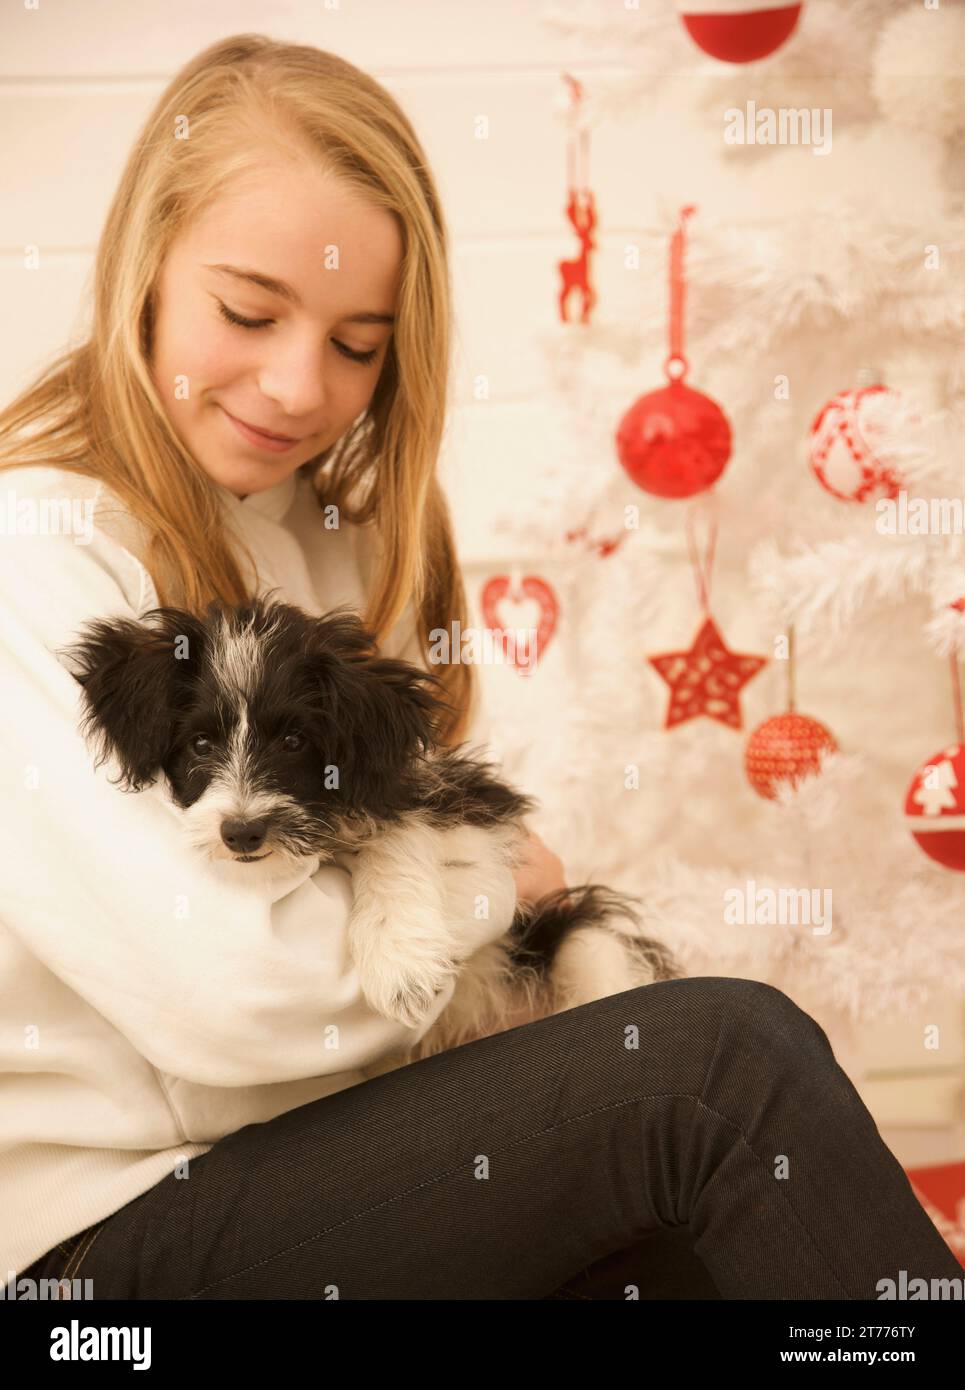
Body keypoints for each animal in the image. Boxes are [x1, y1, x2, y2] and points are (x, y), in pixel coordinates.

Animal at [62, 594, 681, 1061]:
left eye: (294, 741)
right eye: (199, 743)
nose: (241, 832)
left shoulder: (471, 807)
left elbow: (401, 826)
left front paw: (400, 963)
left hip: (575, 936)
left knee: (596, 951)